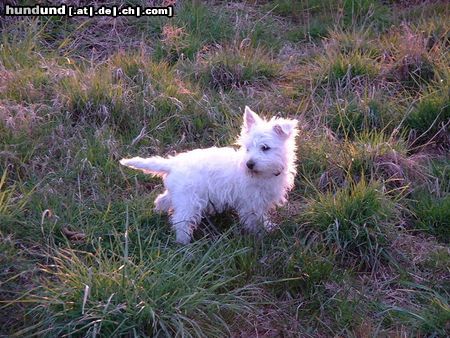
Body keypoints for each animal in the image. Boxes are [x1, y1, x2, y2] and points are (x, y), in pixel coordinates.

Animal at [120, 107, 298, 244]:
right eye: (247, 148)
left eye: (265, 148)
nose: (249, 164)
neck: (265, 173)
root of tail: (173, 164)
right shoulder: (251, 202)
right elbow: (256, 219)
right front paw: (264, 232)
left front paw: (269, 229)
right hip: (189, 201)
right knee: (181, 221)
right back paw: (184, 244)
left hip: (179, 194)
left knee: (162, 200)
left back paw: (157, 212)